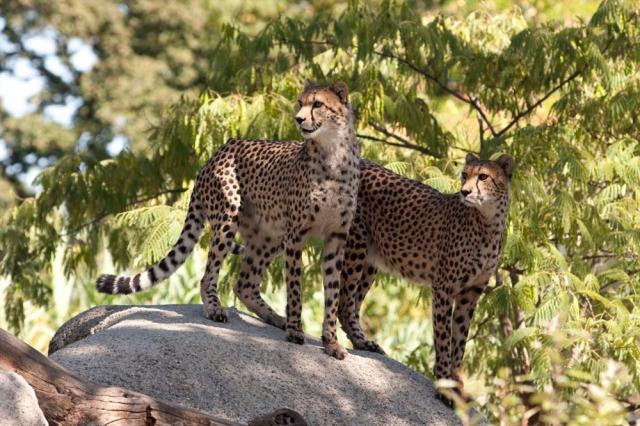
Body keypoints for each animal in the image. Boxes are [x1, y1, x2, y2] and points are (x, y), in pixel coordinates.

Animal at [94, 80, 360, 360]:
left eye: (317, 104)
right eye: (300, 103)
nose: (298, 119)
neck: (332, 151)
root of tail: (218, 151)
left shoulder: (336, 237)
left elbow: (332, 292)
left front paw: (331, 342)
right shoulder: (296, 234)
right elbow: (295, 288)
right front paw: (295, 331)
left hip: (271, 235)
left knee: (245, 283)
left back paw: (275, 318)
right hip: (229, 218)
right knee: (209, 274)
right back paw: (215, 309)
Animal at [340, 155, 516, 388]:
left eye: (483, 177)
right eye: (464, 175)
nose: (465, 191)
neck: (488, 222)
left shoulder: (471, 292)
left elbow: (459, 338)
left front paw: (455, 380)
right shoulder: (444, 287)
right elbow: (442, 336)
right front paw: (443, 379)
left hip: (370, 259)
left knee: (351, 303)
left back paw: (363, 343)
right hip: (355, 244)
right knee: (343, 301)